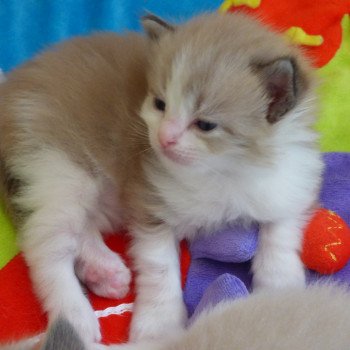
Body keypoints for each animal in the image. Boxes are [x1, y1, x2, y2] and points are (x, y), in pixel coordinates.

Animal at [0, 12, 322, 346]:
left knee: (83, 227)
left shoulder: (289, 183)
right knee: (45, 244)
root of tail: (11, 87)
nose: (164, 138)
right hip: (62, 168)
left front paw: (280, 291)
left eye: (205, 124)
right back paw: (74, 315)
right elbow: (160, 269)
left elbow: (280, 233)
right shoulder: (150, 203)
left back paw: (103, 272)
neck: (224, 169)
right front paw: (159, 326)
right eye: (160, 104)